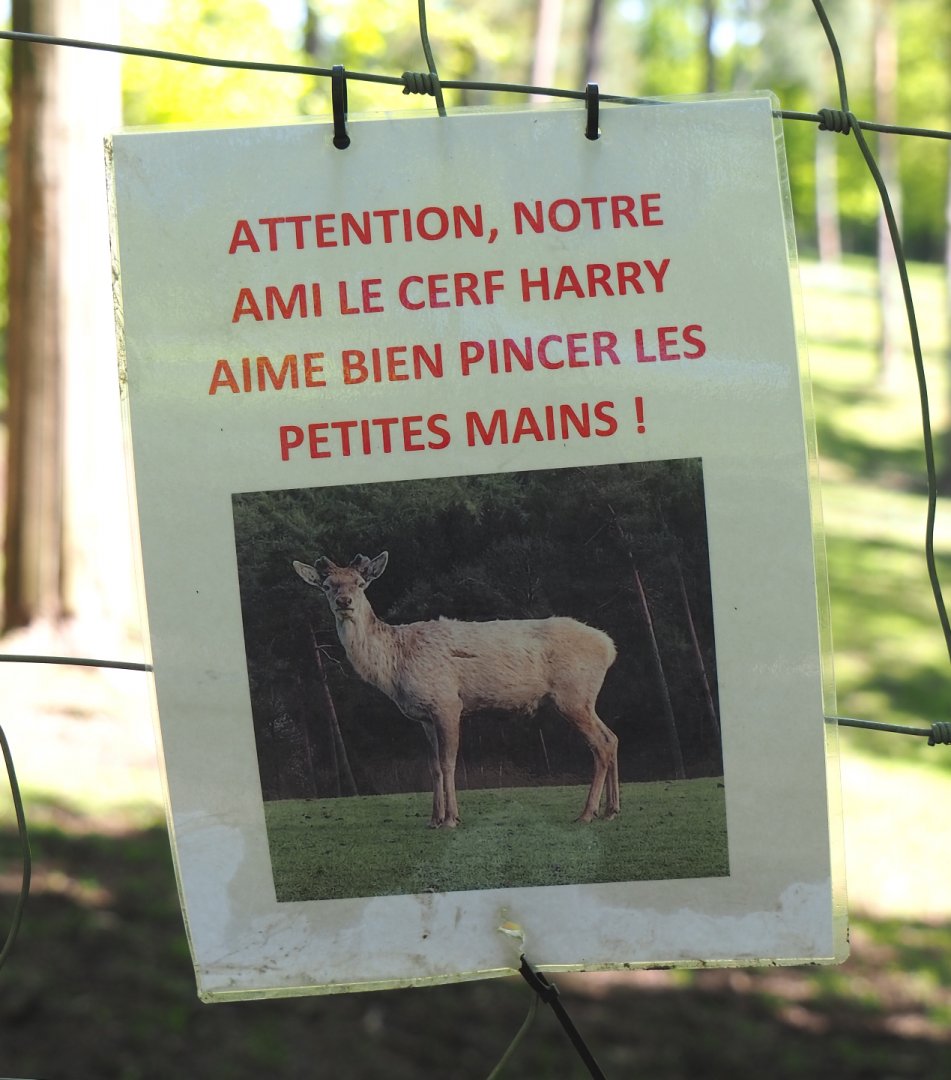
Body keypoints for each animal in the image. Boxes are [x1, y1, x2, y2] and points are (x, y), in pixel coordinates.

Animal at [292, 551, 620, 829]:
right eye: (327, 586)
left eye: (360, 584)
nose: (344, 601)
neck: (395, 667)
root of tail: (609, 647)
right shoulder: (424, 717)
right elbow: (434, 767)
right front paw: (433, 819)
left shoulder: (447, 702)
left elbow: (449, 762)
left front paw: (451, 818)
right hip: (585, 699)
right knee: (612, 737)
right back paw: (611, 810)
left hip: (573, 694)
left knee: (600, 743)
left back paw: (587, 813)